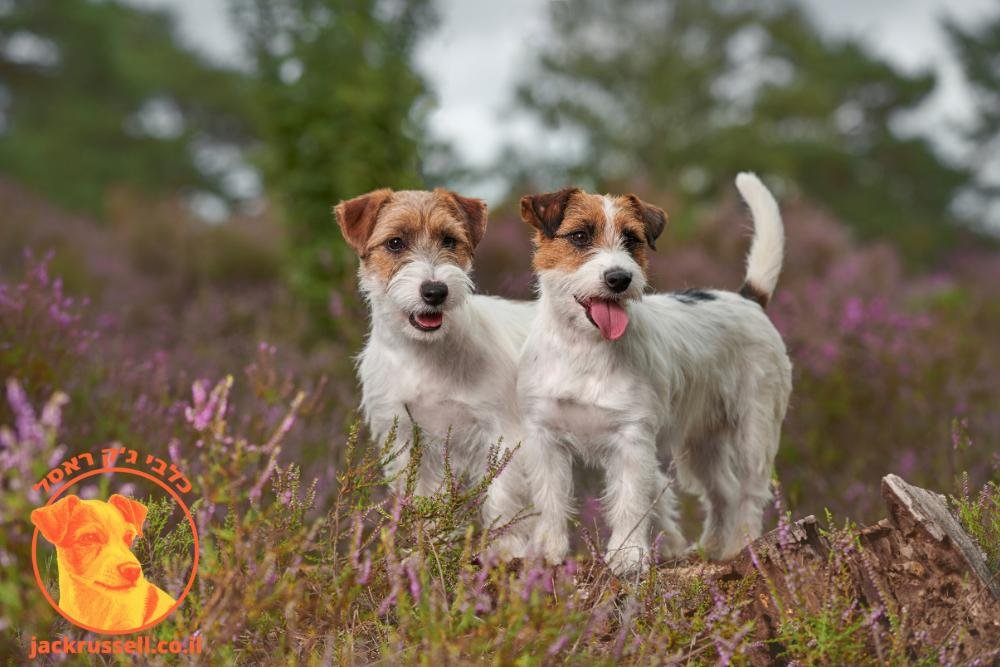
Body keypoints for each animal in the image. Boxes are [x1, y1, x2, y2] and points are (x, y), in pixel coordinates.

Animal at [334, 185, 540, 552]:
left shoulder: (502, 435)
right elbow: (424, 501)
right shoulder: (405, 440)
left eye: (449, 240)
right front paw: (429, 548)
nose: (435, 291)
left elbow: (503, 500)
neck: (424, 355)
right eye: (395, 243)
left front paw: (505, 550)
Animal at [504, 174, 792, 576]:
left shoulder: (632, 439)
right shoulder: (544, 438)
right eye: (579, 236)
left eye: (632, 239)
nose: (619, 278)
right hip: (701, 445)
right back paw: (711, 549)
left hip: (754, 431)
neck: (585, 347)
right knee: (723, 492)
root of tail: (747, 299)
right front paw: (546, 552)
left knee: (749, 491)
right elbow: (551, 499)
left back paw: (742, 546)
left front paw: (627, 556)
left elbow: (629, 501)